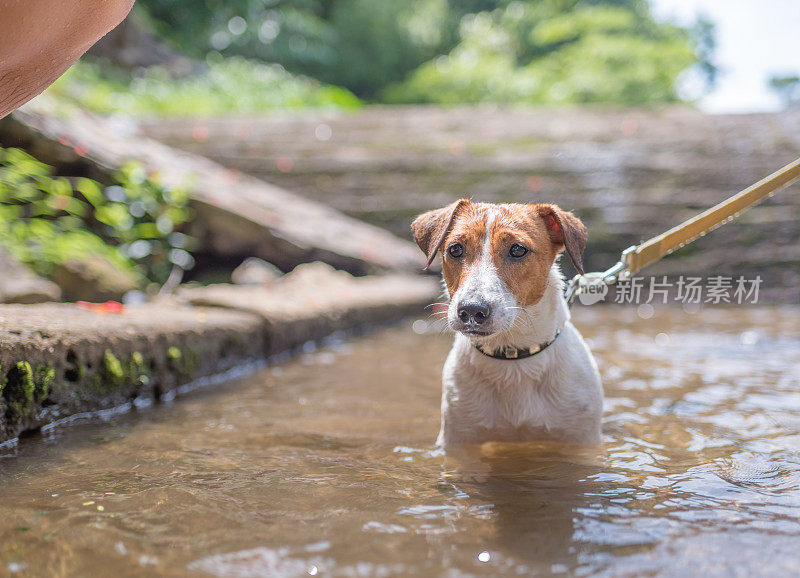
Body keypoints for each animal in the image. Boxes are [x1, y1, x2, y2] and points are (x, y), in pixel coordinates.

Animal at [412, 200, 600, 448]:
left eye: (518, 250)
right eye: (454, 249)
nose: (471, 310)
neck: (512, 359)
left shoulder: (581, 438)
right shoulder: (459, 438)